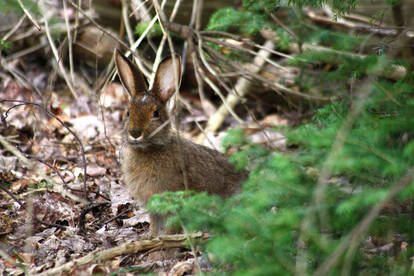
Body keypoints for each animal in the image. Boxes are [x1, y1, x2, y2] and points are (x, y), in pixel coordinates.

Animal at [114, 49, 246, 235]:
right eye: (128, 112)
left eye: (156, 113)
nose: (135, 133)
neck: (151, 149)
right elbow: (155, 226)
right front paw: (151, 238)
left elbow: (171, 227)